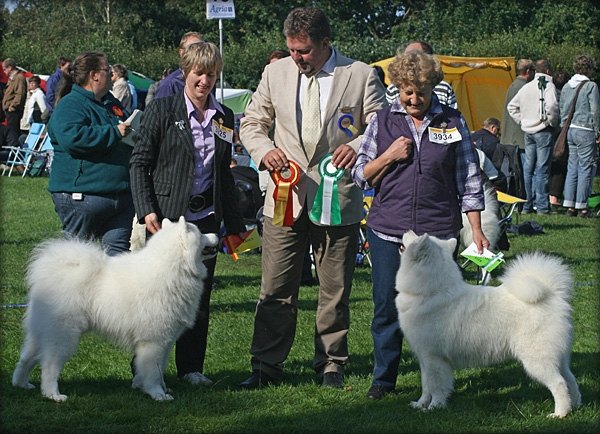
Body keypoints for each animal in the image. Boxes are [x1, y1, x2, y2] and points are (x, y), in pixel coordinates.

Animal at [12, 219, 218, 402]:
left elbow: (159, 369)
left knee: (25, 359)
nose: (217, 234)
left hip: (40, 332)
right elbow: (152, 371)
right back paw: (53, 394)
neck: (173, 269)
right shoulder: (153, 341)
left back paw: (21, 384)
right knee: (49, 366)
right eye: (201, 233)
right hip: (63, 336)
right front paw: (157, 394)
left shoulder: (165, 341)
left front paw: (156, 387)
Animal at [394, 231, 580, 418]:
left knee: (559, 384)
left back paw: (559, 414)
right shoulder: (424, 358)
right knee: (570, 380)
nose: (407, 231)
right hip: (558, 358)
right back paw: (575, 406)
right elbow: (426, 386)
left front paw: (435, 407)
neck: (430, 291)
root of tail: (553, 295)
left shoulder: (434, 358)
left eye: (415, 238)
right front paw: (420, 405)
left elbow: (437, 386)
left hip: (537, 359)